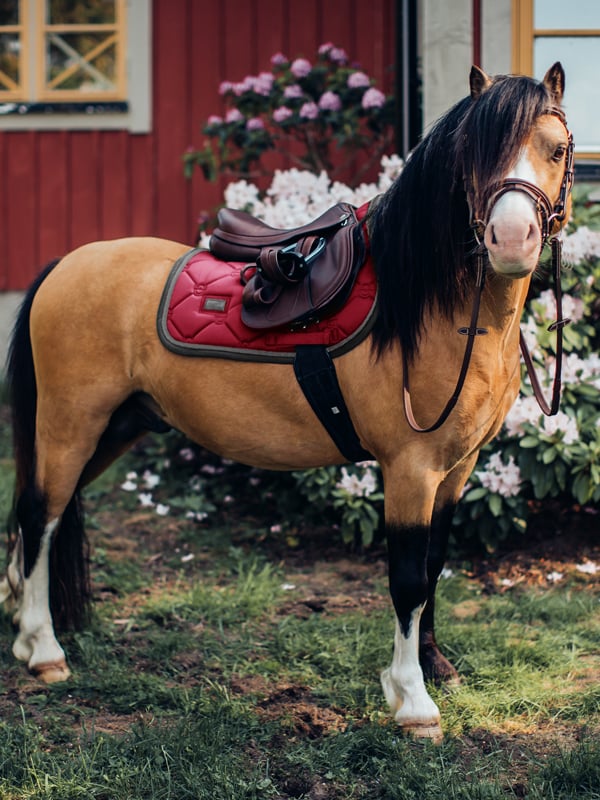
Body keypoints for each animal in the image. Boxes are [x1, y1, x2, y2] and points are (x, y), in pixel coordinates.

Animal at [0, 63, 574, 743]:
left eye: (558, 150)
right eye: (472, 154)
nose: (511, 239)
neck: (429, 307)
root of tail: (65, 264)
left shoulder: (457, 469)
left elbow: (434, 565)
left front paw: (437, 668)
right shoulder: (410, 469)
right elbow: (408, 579)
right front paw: (412, 700)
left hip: (115, 428)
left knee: (38, 515)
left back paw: (20, 626)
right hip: (70, 424)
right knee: (41, 515)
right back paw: (43, 649)